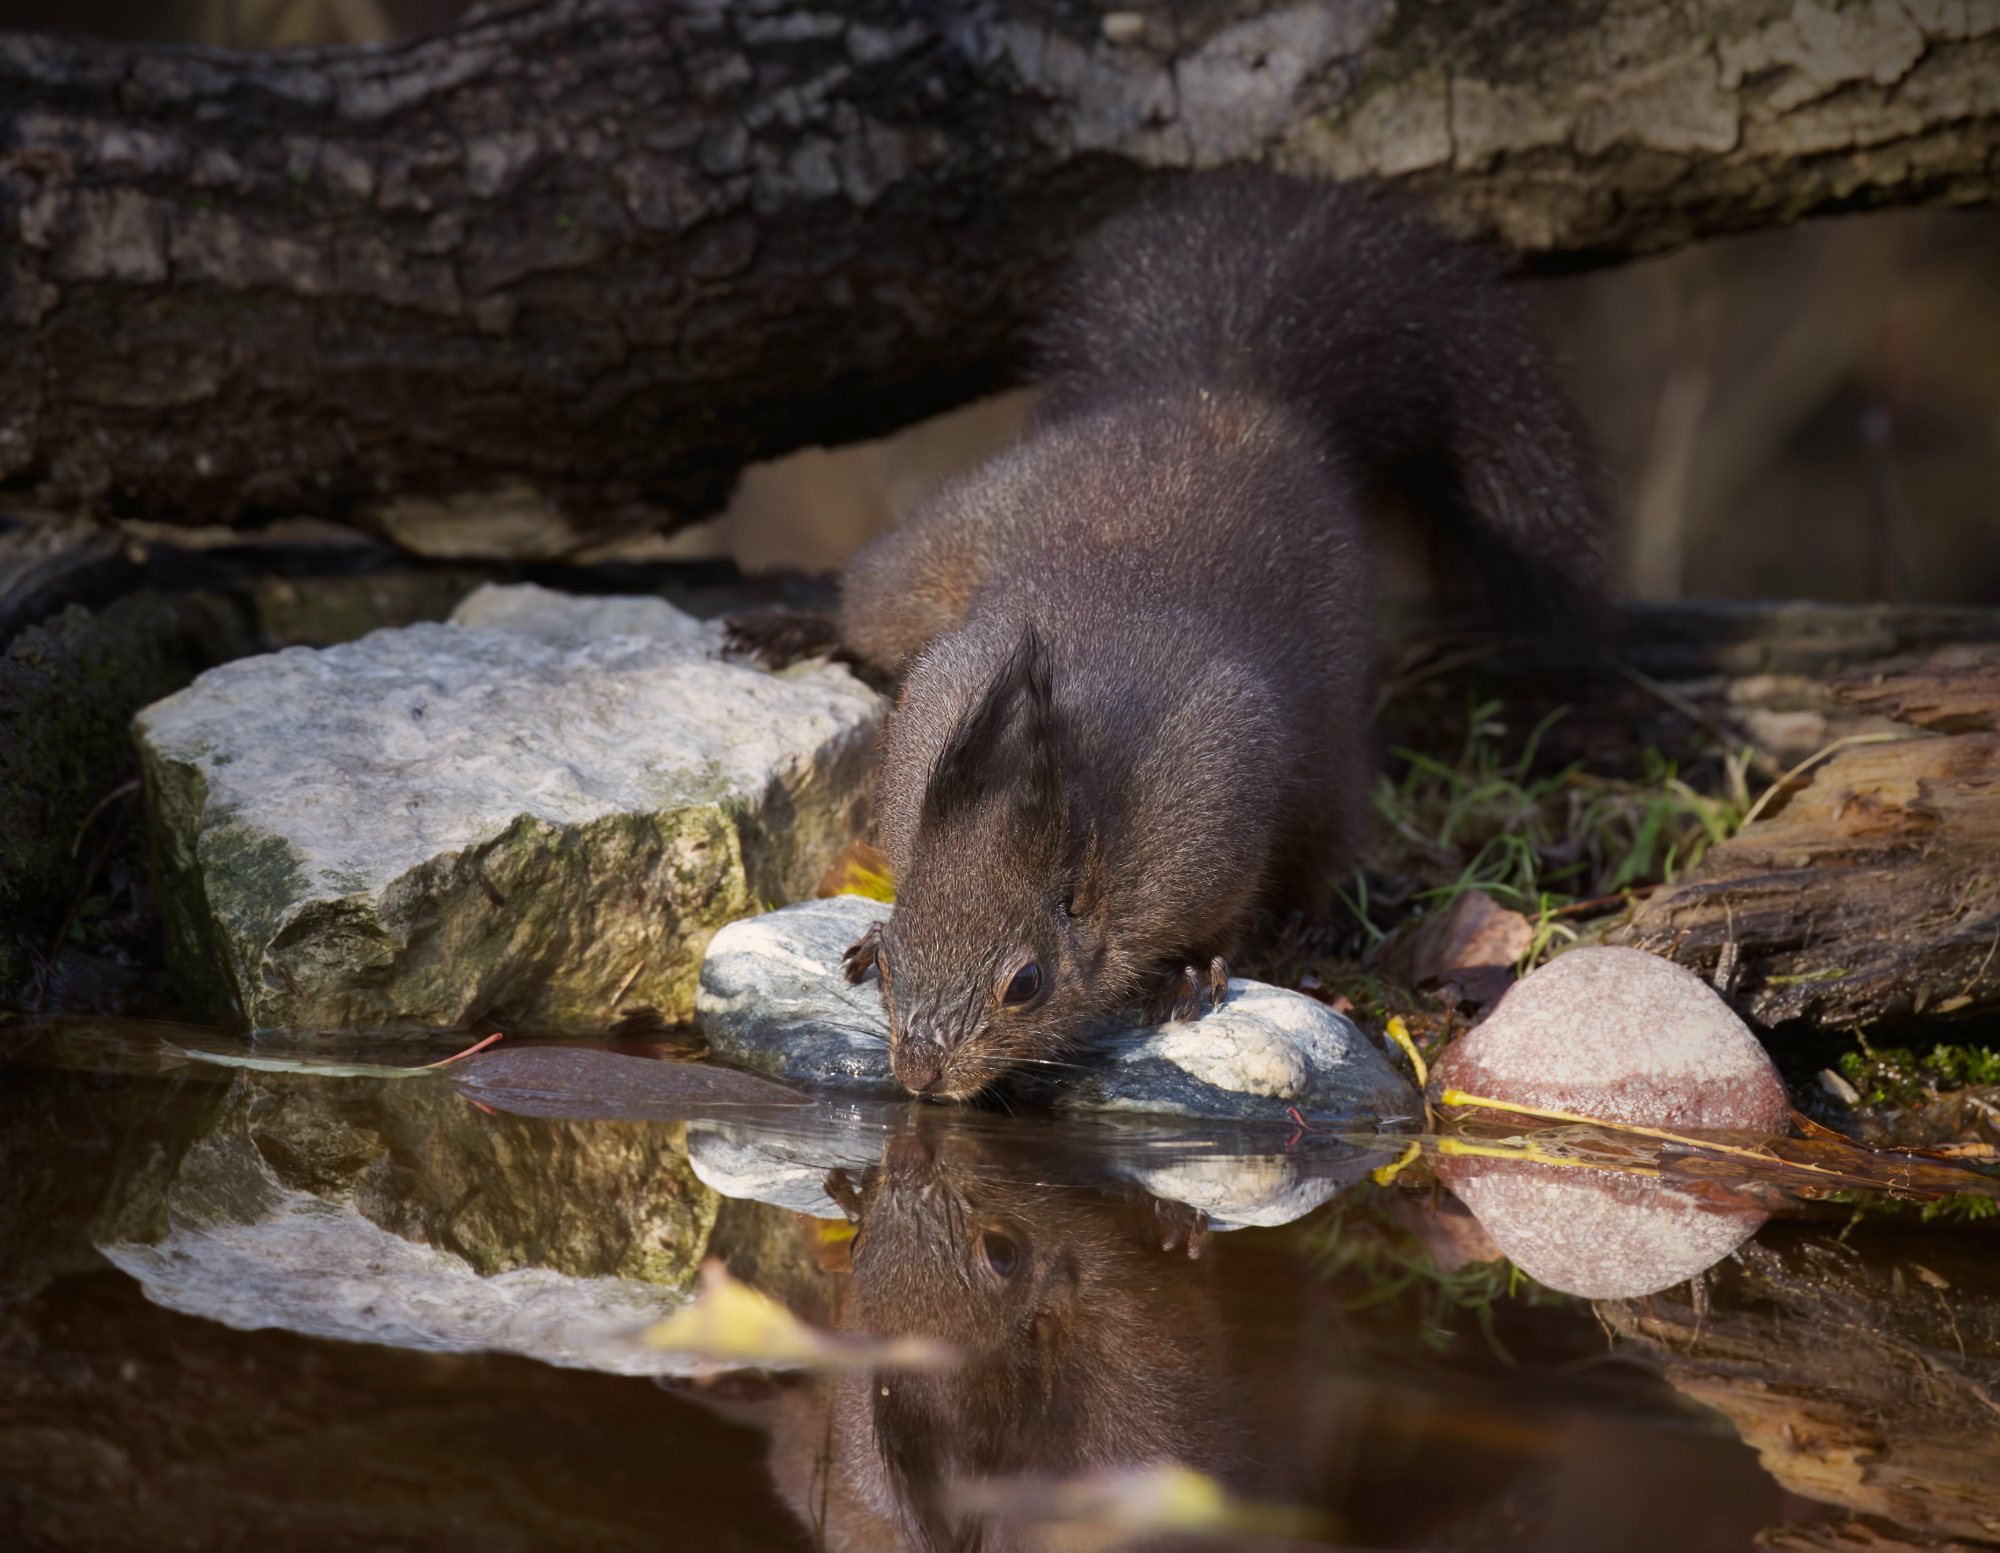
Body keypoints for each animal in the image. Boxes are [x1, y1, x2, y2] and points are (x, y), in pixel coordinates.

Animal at [801, 172, 1609, 1102]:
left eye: (1026, 982)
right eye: (898, 960)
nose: (920, 1073)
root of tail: (1226, 390)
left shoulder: (1214, 795)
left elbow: (1222, 913)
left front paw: (1189, 970)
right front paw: (861, 939)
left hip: (1327, 733)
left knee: (1325, 831)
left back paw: (1318, 920)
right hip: (944, 547)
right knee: (875, 602)